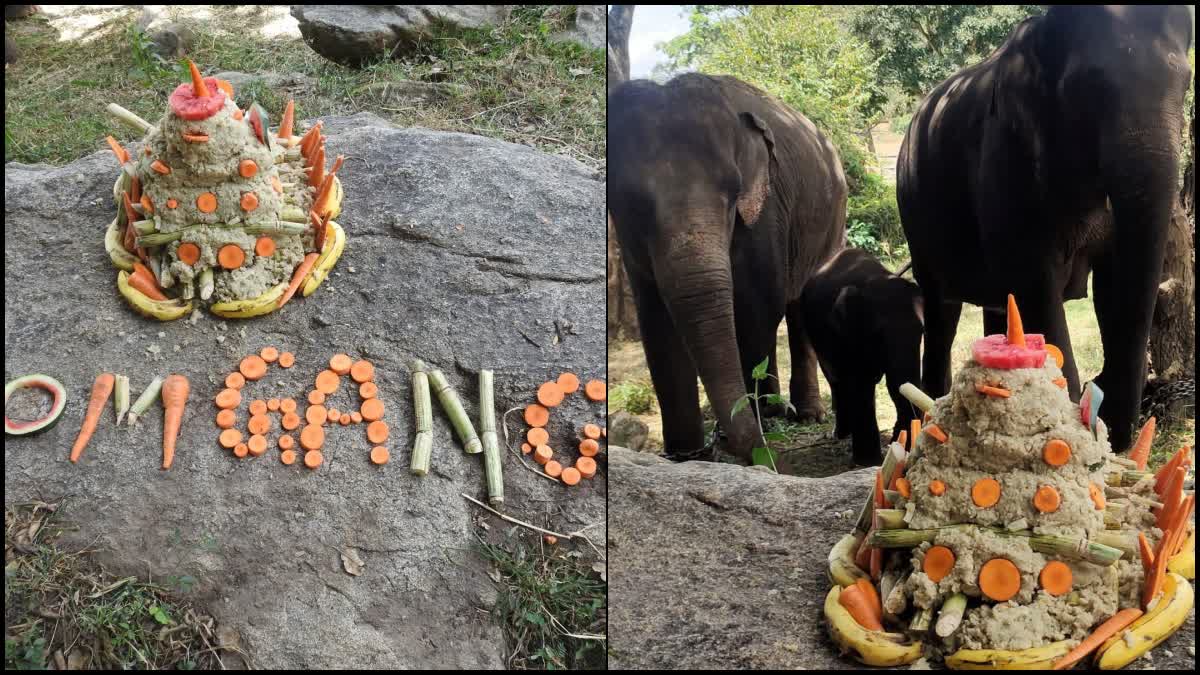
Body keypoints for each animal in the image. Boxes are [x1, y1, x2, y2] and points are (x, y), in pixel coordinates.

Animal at [609, 74, 844, 461]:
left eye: (734, 191)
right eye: (631, 201)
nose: (720, 442)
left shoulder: (765, 211)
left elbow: (757, 308)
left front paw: (747, 441)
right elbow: (657, 326)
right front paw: (686, 456)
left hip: (833, 221)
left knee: (796, 303)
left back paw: (805, 414)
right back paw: (774, 408)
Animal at [801, 247, 921, 461]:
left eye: (922, 331)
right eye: (879, 336)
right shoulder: (847, 335)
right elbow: (860, 383)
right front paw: (868, 461)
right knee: (836, 379)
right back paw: (841, 434)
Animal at [902, 5, 1190, 449]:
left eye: (1186, 83)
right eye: (1087, 88)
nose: (1097, 385)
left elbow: (1114, 285)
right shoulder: (1006, 161)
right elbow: (1037, 288)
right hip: (916, 218)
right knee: (941, 311)